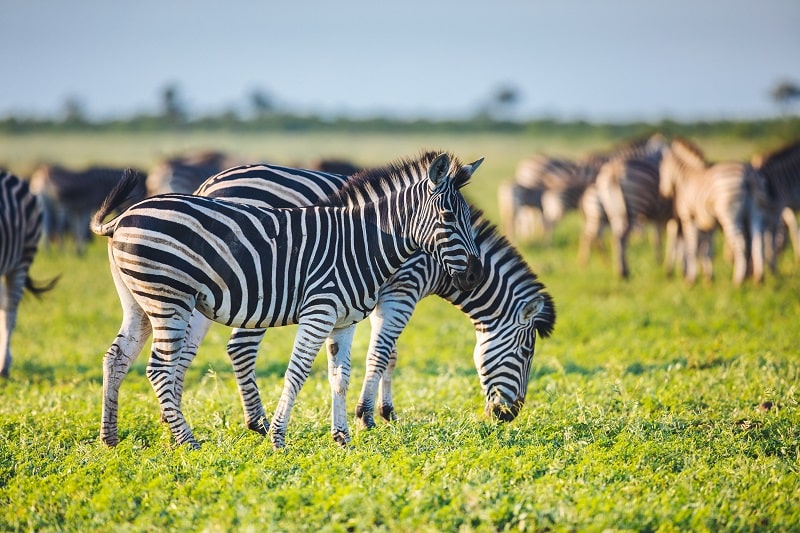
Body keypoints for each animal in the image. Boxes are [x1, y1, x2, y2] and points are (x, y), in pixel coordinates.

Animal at [90, 152, 484, 446]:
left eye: (468, 217)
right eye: (448, 217)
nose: (475, 275)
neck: (364, 243)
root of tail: (122, 218)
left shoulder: (345, 321)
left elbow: (340, 377)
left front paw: (342, 438)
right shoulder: (320, 312)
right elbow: (297, 373)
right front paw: (278, 438)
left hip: (140, 302)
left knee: (117, 357)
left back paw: (110, 438)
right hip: (168, 300)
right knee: (159, 369)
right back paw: (188, 441)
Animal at [656, 139, 768, 284]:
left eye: (662, 169)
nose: (663, 192)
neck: (686, 177)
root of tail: (748, 173)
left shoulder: (689, 217)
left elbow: (693, 247)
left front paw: (691, 279)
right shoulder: (707, 223)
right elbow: (707, 250)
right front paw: (708, 278)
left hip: (729, 215)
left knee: (740, 243)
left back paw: (738, 280)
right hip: (755, 212)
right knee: (758, 239)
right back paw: (759, 278)